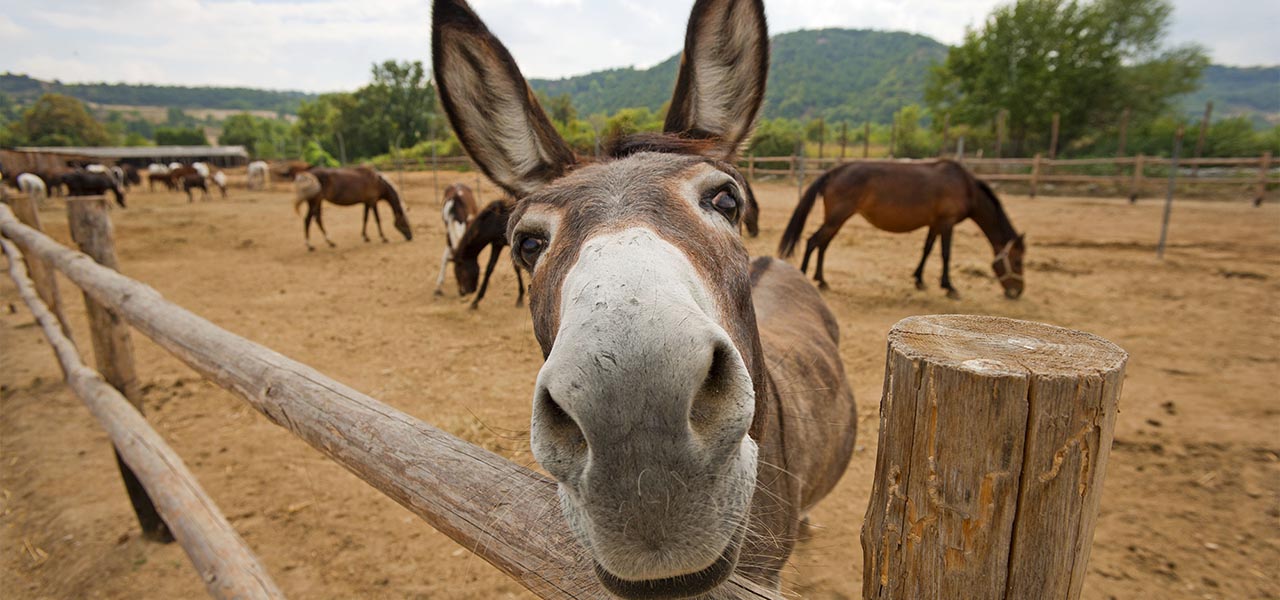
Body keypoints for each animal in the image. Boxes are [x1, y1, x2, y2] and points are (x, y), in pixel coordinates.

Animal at [773, 159, 1024, 298]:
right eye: (1018, 261)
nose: (1017, 292)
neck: (965, 186)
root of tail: (834, 171)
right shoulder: (947, 223)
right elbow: (945, 254)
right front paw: (949, 287)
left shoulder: (934, 224)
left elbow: (927, 250)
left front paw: (919, 280)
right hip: (837, 217)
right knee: (813, 241)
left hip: (837, 218)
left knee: (822, 243)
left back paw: (822, 280)